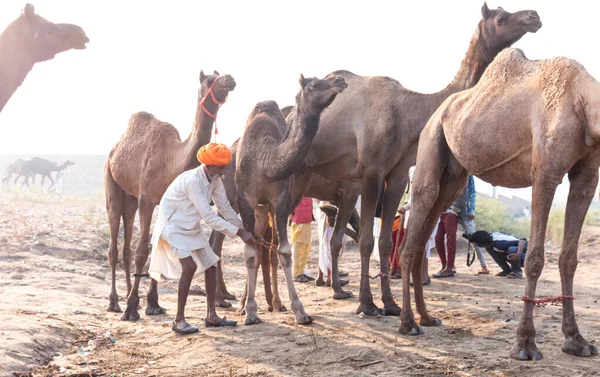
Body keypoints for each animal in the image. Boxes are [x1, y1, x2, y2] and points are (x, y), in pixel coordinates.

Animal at [104, 69, 236, 318]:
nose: (229, 79)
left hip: (131, 198)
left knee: (125, 246)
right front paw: (132, 307)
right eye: (209, 80)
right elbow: (142, 251)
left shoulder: (160, 202)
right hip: (111, 180)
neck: (172, 160)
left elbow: (155, 246)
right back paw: (115, 302)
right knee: (114, 243)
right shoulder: (147, 200)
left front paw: (152, 303)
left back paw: (128, 295)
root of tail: (114, 149)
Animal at [234, 74, 346, 324]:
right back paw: (245, 305)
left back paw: (276, 303)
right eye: (315, 84)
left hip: (275, 206)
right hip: (259, 208)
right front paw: (250, 311)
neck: (265, 161)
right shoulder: (246, 201)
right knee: (258, 247)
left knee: (272, 248)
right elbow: (250, 253)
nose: (340, 80)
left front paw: (300, 310)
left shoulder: (282, 201)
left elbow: (285, 252)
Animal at [296, 3, 544, 314]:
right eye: (500, 17)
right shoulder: (371, 171)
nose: (534, 16)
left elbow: (385, 242)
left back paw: (332, 290)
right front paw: (368, 304)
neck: (408, 112)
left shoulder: (398, 174)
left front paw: (390, 304)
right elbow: (366, 241)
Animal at [398, 47, 600, 362]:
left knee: (428, 228)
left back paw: (427, 317)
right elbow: (535, 259)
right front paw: (525, 345)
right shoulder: (545, 172)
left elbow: (569, 258)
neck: (585, 99)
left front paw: (577, 341)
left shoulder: (588, 175)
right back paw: (408, 324)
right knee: (420, 210)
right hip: (431, 139)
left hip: (454, 177)